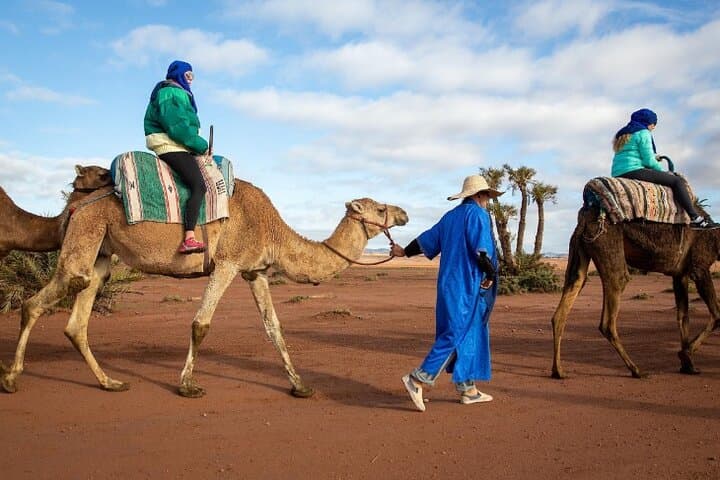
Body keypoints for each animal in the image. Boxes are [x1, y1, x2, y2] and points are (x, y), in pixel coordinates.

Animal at [1, 168, 408, 398]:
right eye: (380, 208)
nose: (404, 212)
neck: (272, 229)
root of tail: (74, 203)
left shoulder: (255, 271)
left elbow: (274, 328)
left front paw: (301, 386)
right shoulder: (227, 263)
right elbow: (201, 324)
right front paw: (187, 385)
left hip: (101, 252)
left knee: (76, 320)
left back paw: (110, 383)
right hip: (87, 231)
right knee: (40, 300)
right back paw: (11, 379)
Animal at [550, 205, 720, 379]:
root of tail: (584, 219)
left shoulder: (680, 274)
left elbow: (683, 317)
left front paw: (688, 366)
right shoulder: (700, 267)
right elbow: (717, 315)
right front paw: (685, 354)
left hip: (580, 249)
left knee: (565, 305)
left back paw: (558, 371)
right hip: (607, 244)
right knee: (609, 316)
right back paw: (636, 370)